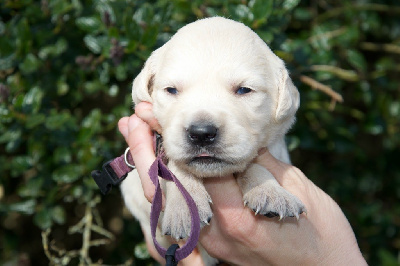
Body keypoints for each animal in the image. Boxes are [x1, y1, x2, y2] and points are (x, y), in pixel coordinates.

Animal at [120, 17, 304, 264]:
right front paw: (184, 206)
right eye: (171, 90)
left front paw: (270, 192)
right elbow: (175, 168)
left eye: (244, 90)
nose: (201, 133)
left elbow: (253, 164)